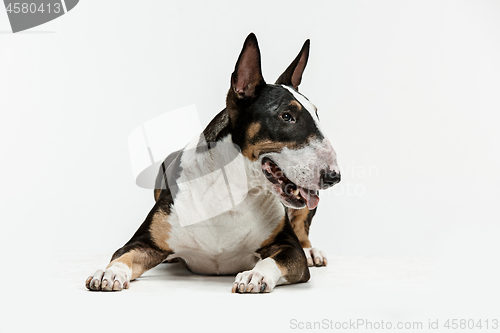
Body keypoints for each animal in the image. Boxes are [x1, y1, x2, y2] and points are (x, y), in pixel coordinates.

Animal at [86, 33, 342, 294]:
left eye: (317, 116)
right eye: (287, 116)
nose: (334, 177)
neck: (233, 191)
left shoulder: (290, 249)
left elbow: (274, 259)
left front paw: (255, 275)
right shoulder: (143, 242)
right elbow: (123, 255)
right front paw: (109, 272)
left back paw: (312, 251)